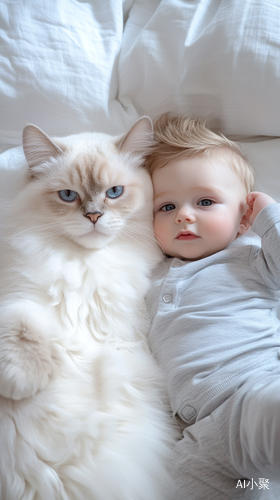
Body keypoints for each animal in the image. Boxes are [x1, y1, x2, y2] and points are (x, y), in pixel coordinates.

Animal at [0, 119, 176, 500]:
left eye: (115, 192)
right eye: (68, 196)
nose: (94, 215)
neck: (83, 263)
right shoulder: (19, 292)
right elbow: (22, 324)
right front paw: (22, 383)